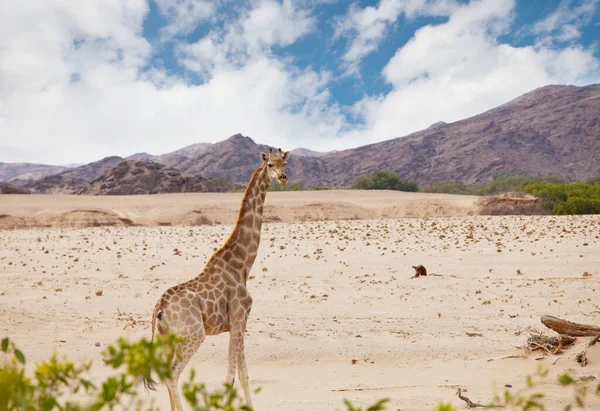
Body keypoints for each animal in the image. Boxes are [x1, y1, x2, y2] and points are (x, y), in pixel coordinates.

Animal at [143, 148, 288, 411]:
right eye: (270, 164)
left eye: (285, 162)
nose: (283, 177)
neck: (242, 266)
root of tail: (159, 308)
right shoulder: (239, 318)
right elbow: (230, 377)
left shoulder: (240, 323)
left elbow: (244, 376)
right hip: (193, 336)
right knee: (173, 374)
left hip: (166, 338)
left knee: (166, 374)